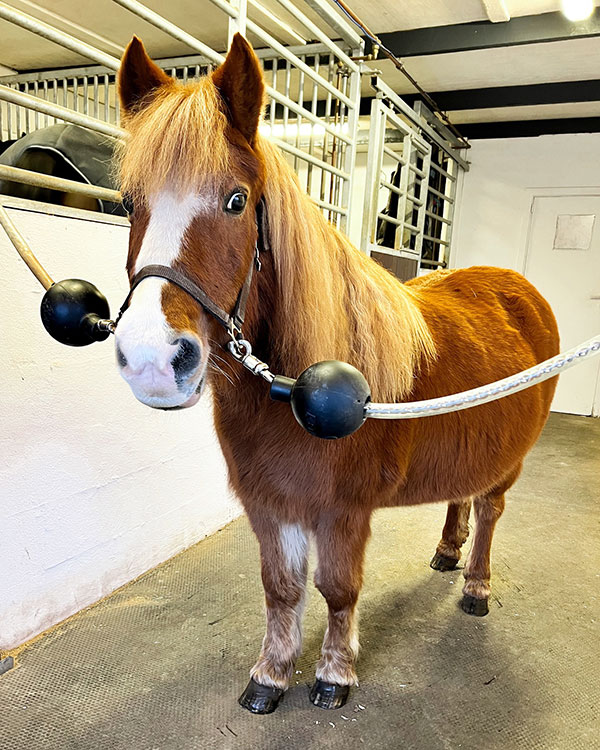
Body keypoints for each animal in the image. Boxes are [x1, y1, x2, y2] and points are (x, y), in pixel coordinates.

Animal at [113, 34, 559, 714]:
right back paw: (446, 551)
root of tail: (517, 288)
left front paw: (334, 673)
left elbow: (338, 588)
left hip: (510, 462)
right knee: (462, 495)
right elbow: (281, 588)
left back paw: (477, 585)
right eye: (128, 202)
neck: (290, 391)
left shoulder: (343, 511)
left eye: (236, 201)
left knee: (489, 510)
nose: (152, 361)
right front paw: (270, 675)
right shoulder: (270, 502)